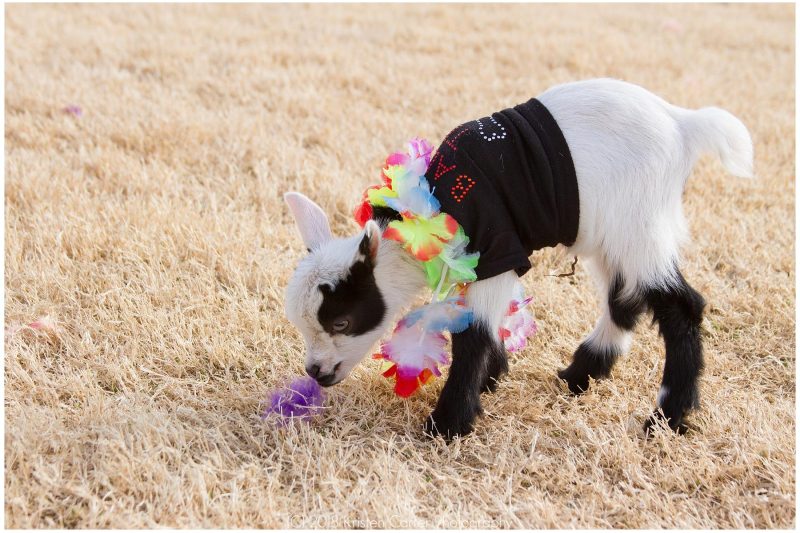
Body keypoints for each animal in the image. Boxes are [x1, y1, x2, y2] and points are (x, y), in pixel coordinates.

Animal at [283, 78, 753, 439]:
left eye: (341, 322)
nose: (316, 372)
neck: (432, 205)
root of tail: (683, 123)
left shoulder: (494, 249)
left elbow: (474, 333)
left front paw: (448, 423)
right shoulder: (493, 258)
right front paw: (492, 379)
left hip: (640, 222)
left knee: (681, 307)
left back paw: (667, 417)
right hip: (610, 233)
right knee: (624, 297)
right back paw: (581, 374)